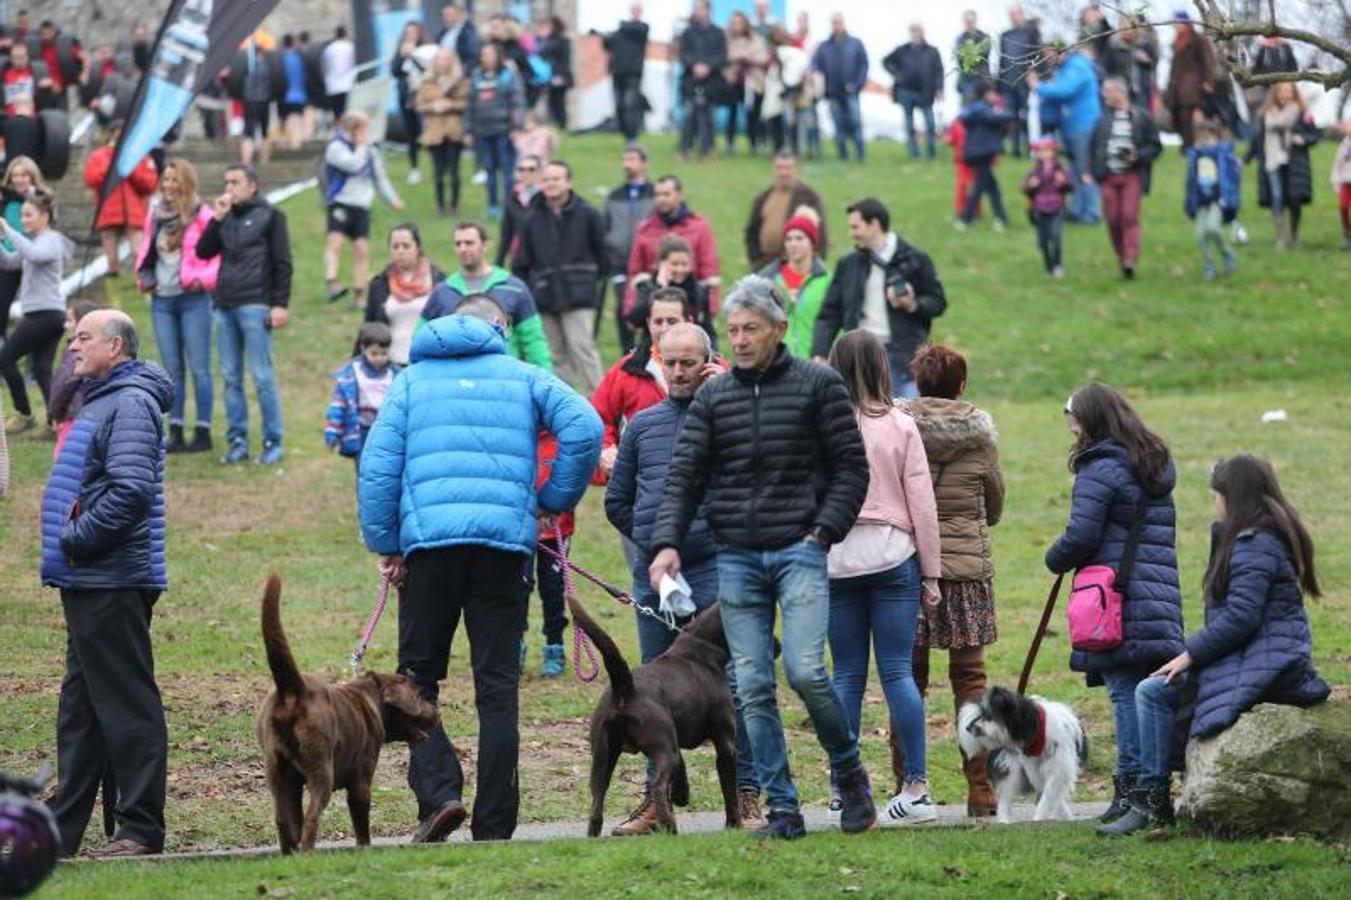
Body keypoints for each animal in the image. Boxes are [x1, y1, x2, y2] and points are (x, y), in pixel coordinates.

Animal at [253, 570, 437, 854]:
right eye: (419, 695)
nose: (437, 711)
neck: (371, 694)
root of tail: (293, 690)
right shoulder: (361, 779)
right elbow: (361, 824)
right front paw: (364, 848)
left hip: (276, 771)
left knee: (283, 819)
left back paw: (291, 854)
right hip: (321, 768)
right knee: (312, 816)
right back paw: (306, 852)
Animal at [567, 594, 745, 832]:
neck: (701, 648)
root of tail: (625, 687)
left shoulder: (673, 739)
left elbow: (682, 767)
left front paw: (681, 795)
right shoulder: (725, 744)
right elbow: (730, 792)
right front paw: (734, 825)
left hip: (604, 756)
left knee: (597, 800)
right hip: (661, 750)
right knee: (658, 786)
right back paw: (669, 827)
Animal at [951, 686, 1086, 821]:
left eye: (988, 716)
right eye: (981, 714)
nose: (968, 728)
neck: (1036, 729)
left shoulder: (1059, 769)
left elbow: (1049, 795)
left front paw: (1053, 816)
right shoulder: (1035, 770)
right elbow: (1048, 794)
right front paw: (1045, 817)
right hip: (1011, 767)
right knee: (1005, 798)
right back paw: (1004, 820)